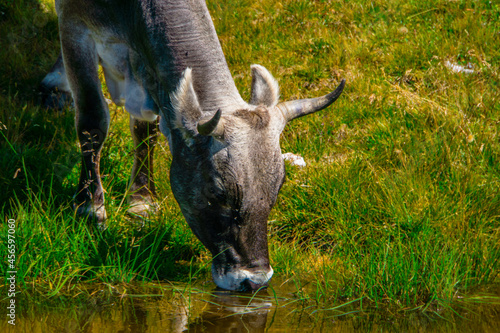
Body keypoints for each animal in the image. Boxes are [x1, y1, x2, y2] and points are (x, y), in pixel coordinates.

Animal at [42, 0, 344, 290]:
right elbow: (92, 119)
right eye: (217, 192)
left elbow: (145, 128)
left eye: (278, 186)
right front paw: (89, 209)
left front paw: (141, 200)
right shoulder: (74, 25)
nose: (255, 280)